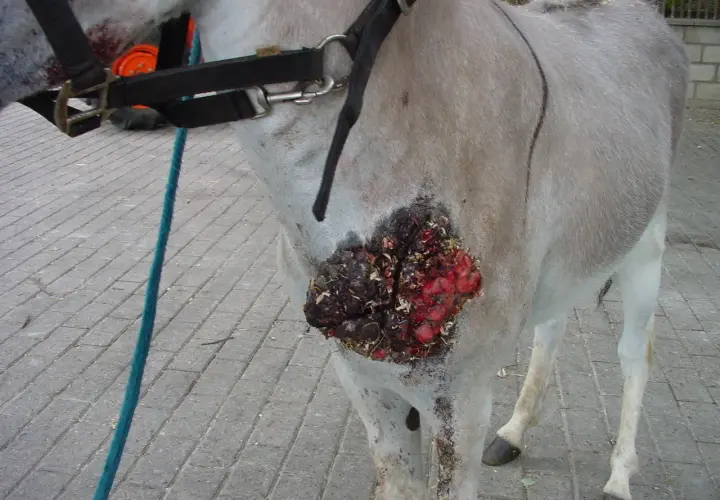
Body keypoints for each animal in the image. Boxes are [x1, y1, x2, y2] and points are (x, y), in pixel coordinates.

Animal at [0, 0, 689, 498]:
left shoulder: (459, 396)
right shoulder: (363, 378)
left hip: (647, 251)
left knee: (636, 355)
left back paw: (619, 478)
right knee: (553, 327)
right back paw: (515, 433)